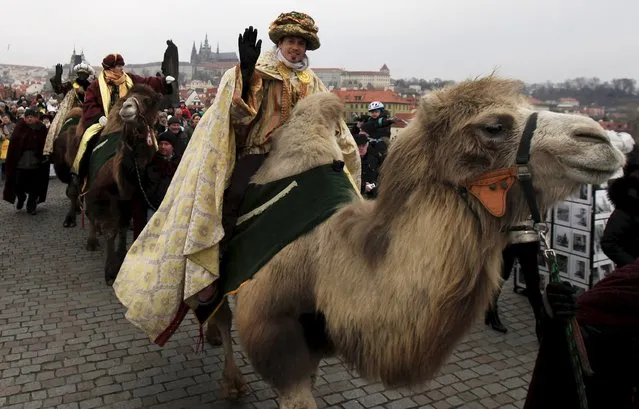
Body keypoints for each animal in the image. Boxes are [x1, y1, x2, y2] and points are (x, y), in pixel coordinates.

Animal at [84, 85, 162, 284]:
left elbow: (126, 226)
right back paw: (92, 241)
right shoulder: (106, 197)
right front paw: (110, 271)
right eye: (127, 97)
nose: (127, 107)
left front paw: (123, 258)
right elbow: (111, 230)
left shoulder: (136, 197)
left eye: (149, 100)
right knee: (89, 212)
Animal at [208, 75, 628, 404]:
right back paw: (230, 380)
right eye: (493, 126)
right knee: (217, 312)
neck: (324, 262)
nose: (602, 140)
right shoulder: (273, 335)